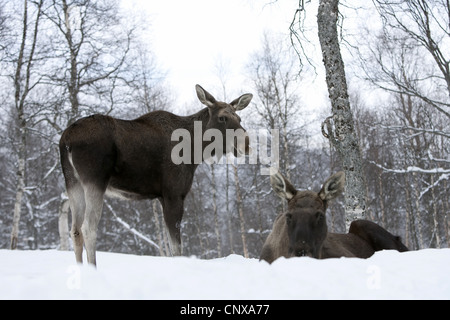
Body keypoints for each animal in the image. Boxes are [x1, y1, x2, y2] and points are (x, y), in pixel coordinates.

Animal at [59, 84, 253, 264]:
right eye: (222, 118)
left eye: (239, 118)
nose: (246, 144)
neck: (195, 151)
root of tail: (66, 140)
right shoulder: (174, 194)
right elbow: (176, 248)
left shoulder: (161, 197)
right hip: (94, 181)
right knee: (88, 228)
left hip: (73, 182)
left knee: (75, 230)